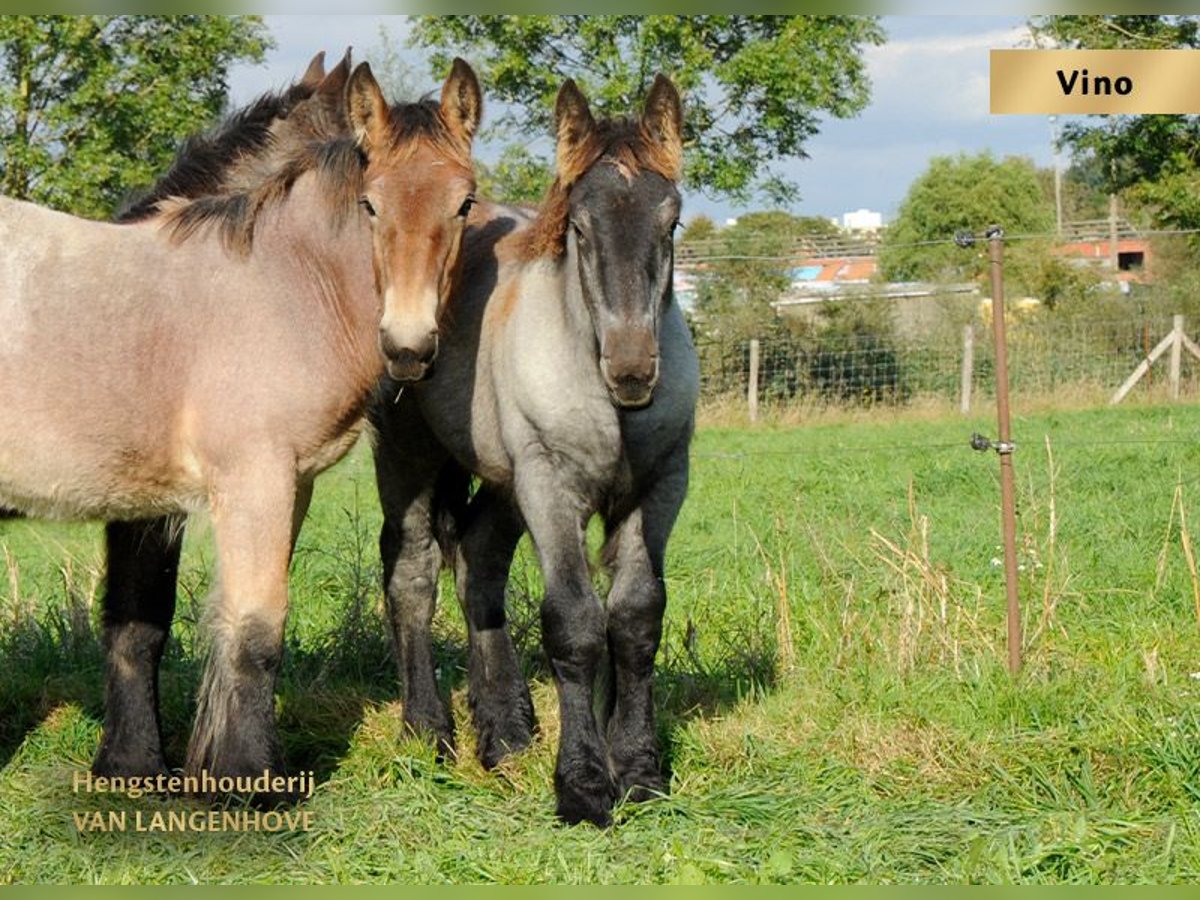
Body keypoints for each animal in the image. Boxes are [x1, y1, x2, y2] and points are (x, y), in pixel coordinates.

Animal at [4, 54, 482, 796]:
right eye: (370, 203)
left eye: (464, 202)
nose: (409, 348)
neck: (276, 283)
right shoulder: (248, 482)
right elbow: (255, 627)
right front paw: (253, 781)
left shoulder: (280, 486)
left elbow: (184, 623)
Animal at [369, 74, 700, 830]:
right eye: (578, 227)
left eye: (671, 221)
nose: (632, 370)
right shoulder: (552, 487)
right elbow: (574, 623)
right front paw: (582, 785)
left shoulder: (660, 487)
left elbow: (636, 618)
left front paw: (638, 769)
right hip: (410, 455)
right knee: (414, 572)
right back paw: (427, 731)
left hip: (503, 482)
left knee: (479, 562)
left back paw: (505, 732)